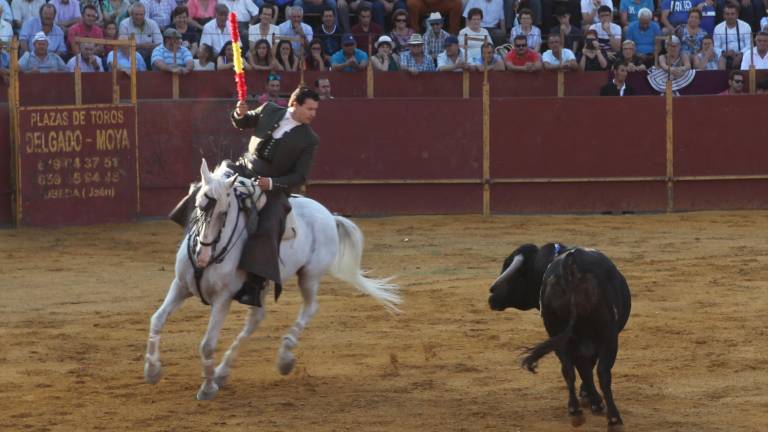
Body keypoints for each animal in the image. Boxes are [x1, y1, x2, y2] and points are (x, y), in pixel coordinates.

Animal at [143, 160, 402, 400]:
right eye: (198, 206)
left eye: (224, 213)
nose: (202, 257)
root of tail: (329, 215)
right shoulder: (180, 286)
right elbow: (157, 319)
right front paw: (152, 370)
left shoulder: (222, 299)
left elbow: (207, 344)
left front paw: (207, 389)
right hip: (263, 285)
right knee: (256, 320)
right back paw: (223, 372)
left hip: (309, 275)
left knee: (310, 307)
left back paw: (284, 358)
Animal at [492, 243, 632, 428]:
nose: (492, 298)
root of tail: (569, 263)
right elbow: (588, 368)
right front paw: (591, 399)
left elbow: (582, 368)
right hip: (607, 336)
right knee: (602, 372)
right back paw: (612, 417)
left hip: (560, 334)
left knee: (568, 369)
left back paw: (575, 410)